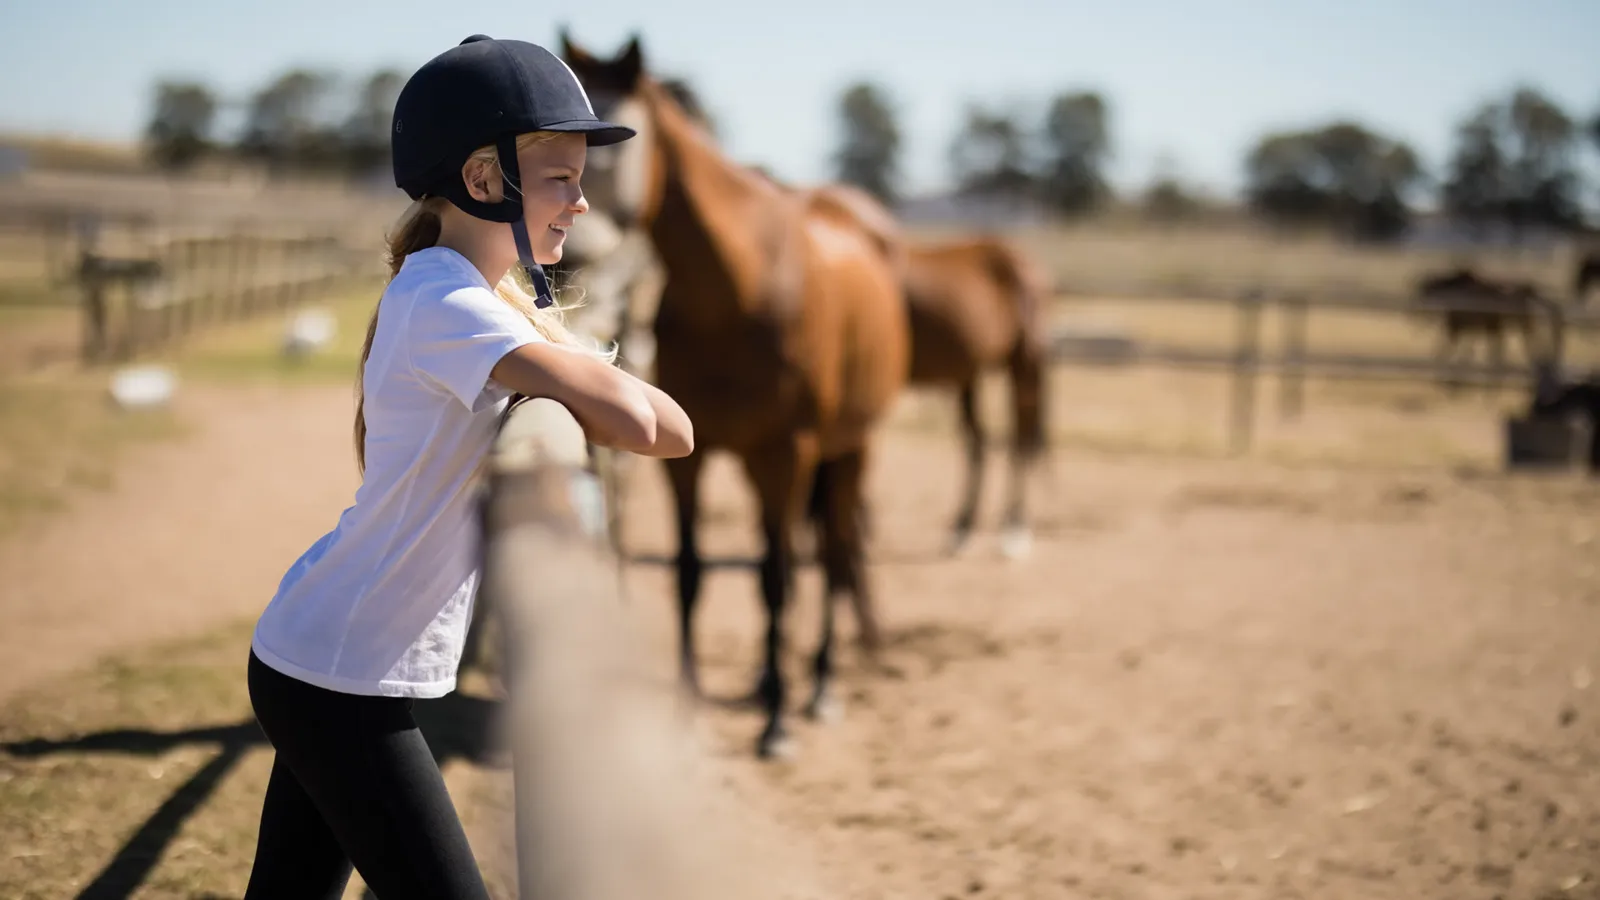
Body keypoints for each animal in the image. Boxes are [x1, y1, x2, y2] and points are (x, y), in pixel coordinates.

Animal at [559, 31, 912, 759]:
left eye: (607, 146)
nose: (566, 259)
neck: (738, 288)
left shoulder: (786, 453)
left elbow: (775, 579)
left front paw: (776, 725)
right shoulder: (691, 462)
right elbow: (691, 573)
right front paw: (686, 710)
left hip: (845, 452)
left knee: (831, 557)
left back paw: (819, 688)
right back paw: (765, 678)